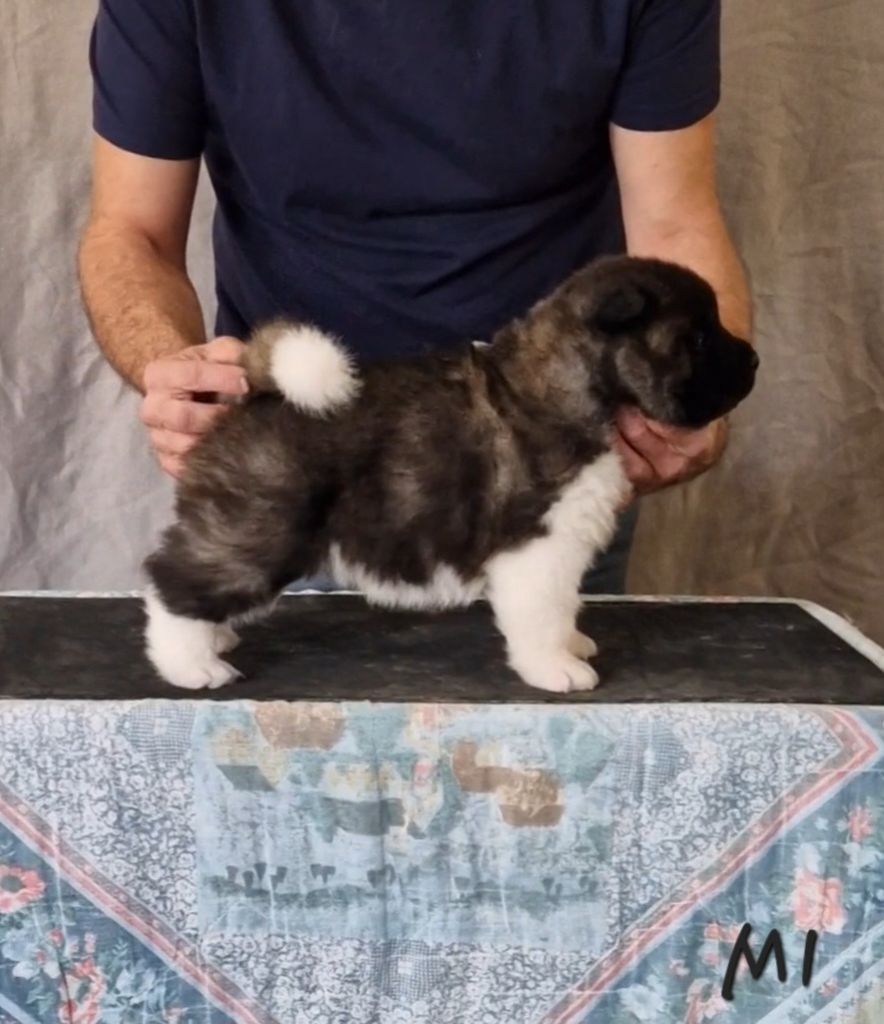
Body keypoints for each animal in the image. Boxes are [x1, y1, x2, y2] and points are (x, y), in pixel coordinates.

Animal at [143, 256, 758, 693]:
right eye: (698, 338)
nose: (753, 360)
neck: (568, 385)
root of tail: (260, 392)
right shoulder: (538, 545)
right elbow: (542, 612)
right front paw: (554, 667)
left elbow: (564, 606)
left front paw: (572, 643)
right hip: (260, 529)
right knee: (173, 581)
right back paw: (190, 665)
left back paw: (215, 638)